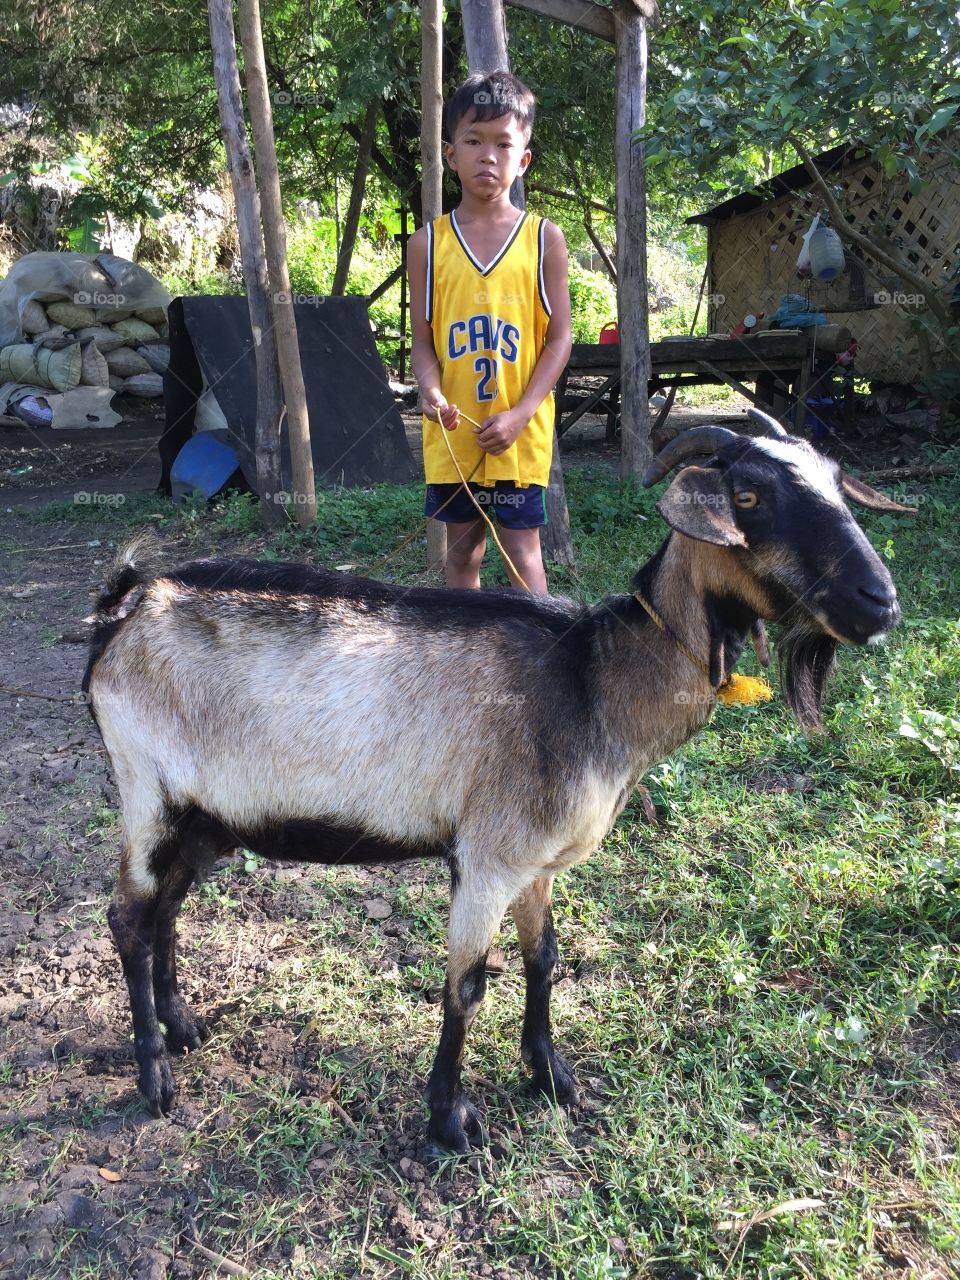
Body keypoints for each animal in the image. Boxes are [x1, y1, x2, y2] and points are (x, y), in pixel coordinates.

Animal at [85, 413, 906, 1151]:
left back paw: (184, 1027)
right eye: (749, 496)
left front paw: (552, 1077)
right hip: (147, 791)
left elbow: (544, 959)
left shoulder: (537, 862)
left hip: (208, 815)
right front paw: (452, 1120)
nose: (880, 601)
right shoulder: (486, 858)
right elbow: (467, 986)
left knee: (167, 905)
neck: (591, 679)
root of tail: (126, 605)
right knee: (129, 916)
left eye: (837, 484)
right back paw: (156, 1078)